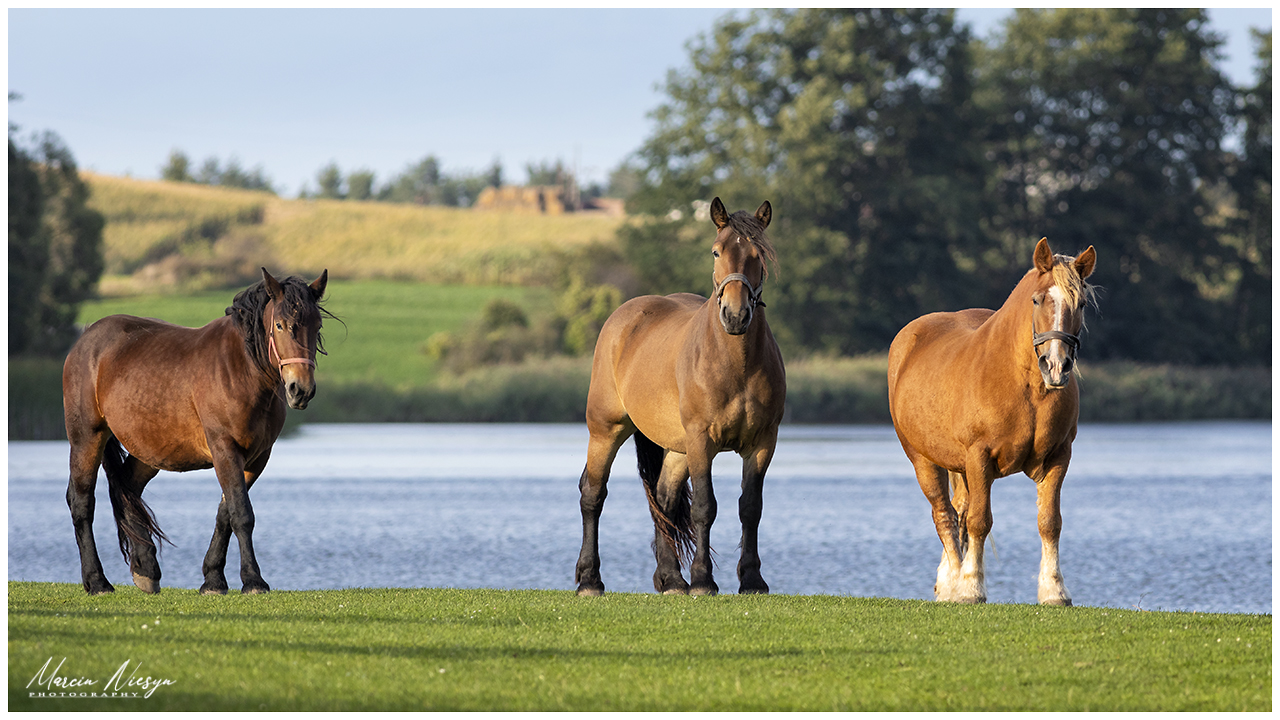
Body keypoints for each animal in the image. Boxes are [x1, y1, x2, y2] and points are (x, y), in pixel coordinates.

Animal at [63, 267, 330, 594]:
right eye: (280, 325)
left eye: (316, 324)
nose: (300, 390)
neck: (240, 370)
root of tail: (86, 339)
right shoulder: (225, 449)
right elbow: (242, 514)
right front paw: (253, 580)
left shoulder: (256, 457)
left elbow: (225, 514)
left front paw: (213, 579)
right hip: (87, 437)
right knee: (82, 501)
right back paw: (97, 581)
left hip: (151, 450)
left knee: (127, 488)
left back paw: (146, 568)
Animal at [576, 196, 783, 594]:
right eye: (716, 251)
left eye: (759, 254)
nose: (736, 315)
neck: (736, 364)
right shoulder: (703, 440)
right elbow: (705, 506)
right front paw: (704, 579)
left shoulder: (763, 442)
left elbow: (751, 507)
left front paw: (752, 579)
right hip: (606, 430)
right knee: (593, 493)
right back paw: (589, 579)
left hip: (677, 448)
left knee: (664, 500)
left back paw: (671, 578)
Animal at [890, 238, 1090, 602]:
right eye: (1038, 299)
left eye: (1080, 303)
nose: (1056, 365)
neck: (1023, 386)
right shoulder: (978, 457)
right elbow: (979, 521)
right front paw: (970, 587)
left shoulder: (1059, 456)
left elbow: (1049, 522)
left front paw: (1054, 590)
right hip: (924, 460)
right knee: (945, 515)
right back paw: (953, 580)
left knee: (958, 511)